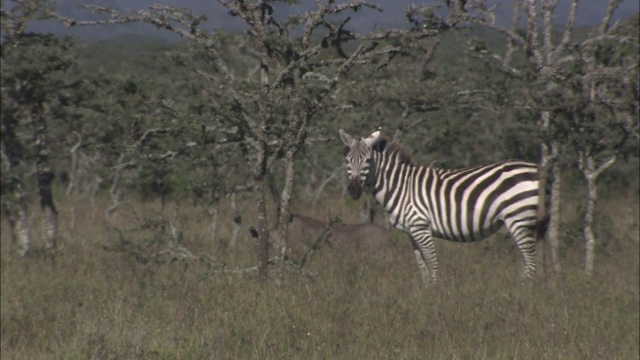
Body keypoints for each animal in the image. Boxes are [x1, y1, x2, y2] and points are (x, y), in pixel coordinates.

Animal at [340, 129, 552, 284]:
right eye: (348, 160)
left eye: (368, 160)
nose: (353, 190)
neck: (401, 186)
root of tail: (538, 169)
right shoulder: (412, 231)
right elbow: (422, 266)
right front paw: (425, 292)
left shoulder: (421, 226)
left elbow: (432, 262)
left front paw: (436, 294)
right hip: (533, 221)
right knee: (538, 261)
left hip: (518, 218)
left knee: (531, 263)